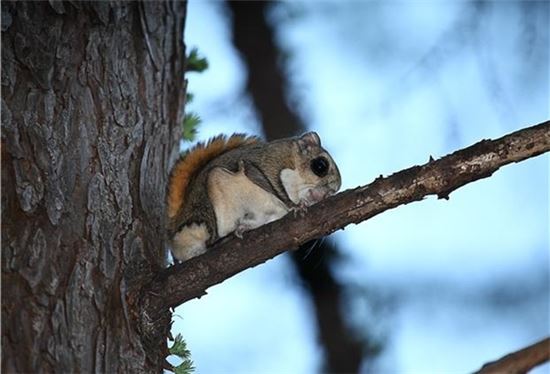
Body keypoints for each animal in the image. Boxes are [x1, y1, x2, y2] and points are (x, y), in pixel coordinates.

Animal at [166, 133, 342, 262]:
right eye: (320, 166)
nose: (333, 189)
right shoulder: (269, 161)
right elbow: (270, 183)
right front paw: (294, 206)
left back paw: (244, 228)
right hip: (216, 193)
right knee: (211, 241)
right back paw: (222, 240)